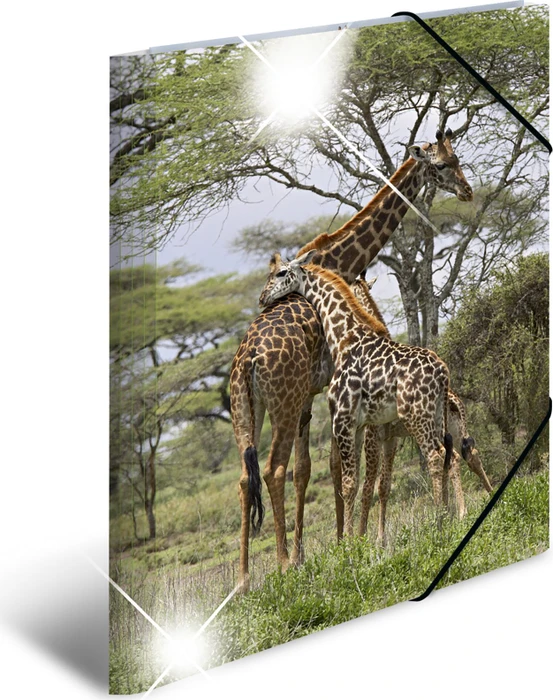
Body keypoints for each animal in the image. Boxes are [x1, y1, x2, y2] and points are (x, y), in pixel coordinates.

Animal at [259, 253, 461, 536]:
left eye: (280, 272)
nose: (263, 297)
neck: (344, 338)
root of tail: (443, 372)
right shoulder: (360, 426)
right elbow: (359, 483)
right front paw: (360, 537)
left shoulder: (344, 421)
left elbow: (351, 484)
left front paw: (352, 540)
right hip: (436, 416)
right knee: (450, 455)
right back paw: (451, 515)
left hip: (416, 415)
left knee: (435, 455)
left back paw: (440, 521)